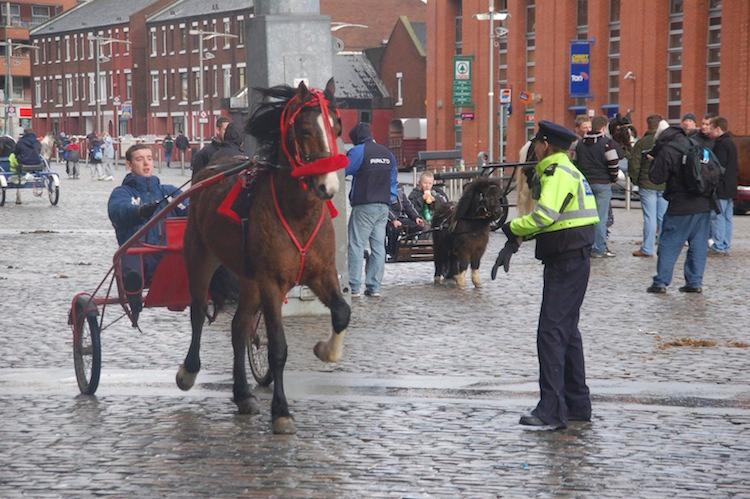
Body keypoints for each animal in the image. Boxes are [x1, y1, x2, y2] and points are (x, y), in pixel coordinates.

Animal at [177, 79, 351, 435]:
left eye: (337, 126)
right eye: (305, 129)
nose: (328, 186)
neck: (297, 213)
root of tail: (212, 166)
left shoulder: (322, 272)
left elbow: (342, 312)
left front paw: (327, 350)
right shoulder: (272, 282)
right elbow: (279, 348)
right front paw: (281, 411)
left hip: (248, 278)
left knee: (239, 327)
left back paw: (243, 394)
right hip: (201, 255)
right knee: (199, 312)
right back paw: (189, 371)